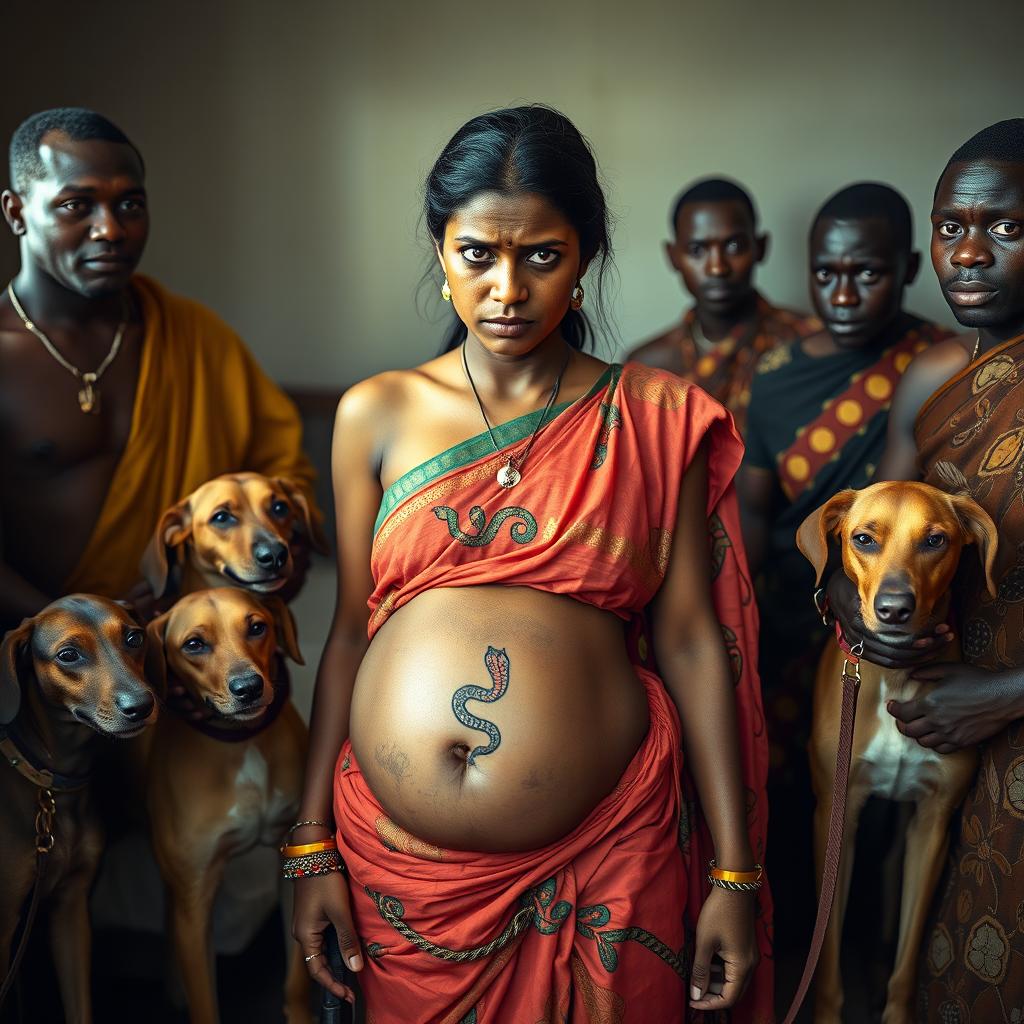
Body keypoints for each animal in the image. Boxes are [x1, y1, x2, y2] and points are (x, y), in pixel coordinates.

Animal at [0, 598, 157, 1019]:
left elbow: (79, 1004)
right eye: (68, 655)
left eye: (134, 638)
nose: (142, 706)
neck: (53, 786)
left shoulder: (70, 911)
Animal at [144, 593, 309, 1024]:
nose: (248, 687)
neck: (241, 743)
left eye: (257, 627)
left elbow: (296, 979)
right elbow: (205, 1003)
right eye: (194, 644)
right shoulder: (195, 904)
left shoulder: (295, 864)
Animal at [794, 481, 995, 1024]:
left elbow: (906, 965)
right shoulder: (835, 817)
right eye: (863, 539)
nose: (894, 608)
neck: (895, 679)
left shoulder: (933, 825)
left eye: (935, 541)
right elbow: (827, 955)